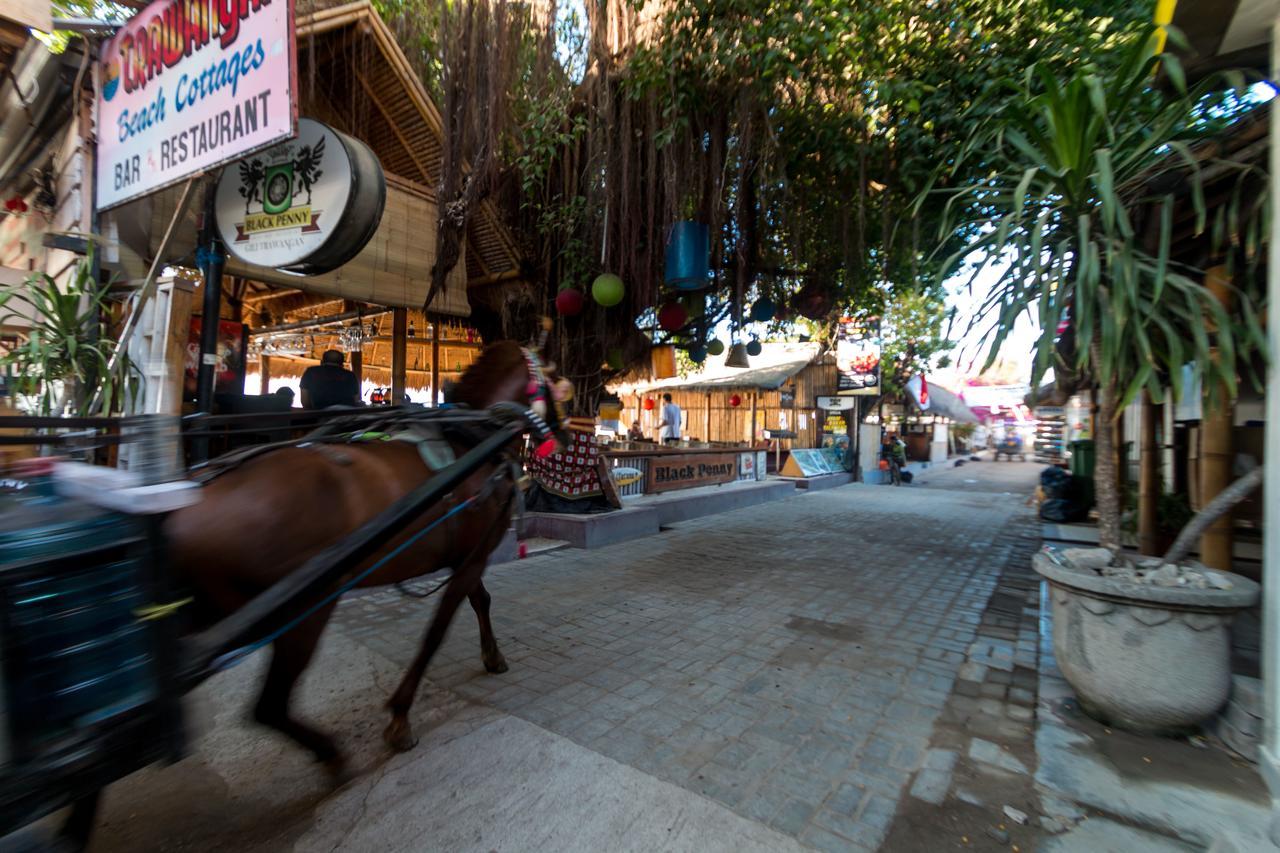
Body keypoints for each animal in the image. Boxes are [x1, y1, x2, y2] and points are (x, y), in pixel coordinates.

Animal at [162, 338, 558, 768]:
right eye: (556, 381)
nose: (563, 433)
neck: (472, 437)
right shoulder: (474, 554)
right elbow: (437, 632)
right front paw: (400, 717)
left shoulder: (468, 555)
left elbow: (480, 600)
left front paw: (492, 656)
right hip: (305, 607)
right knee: (270, 706)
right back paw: (332, 756)